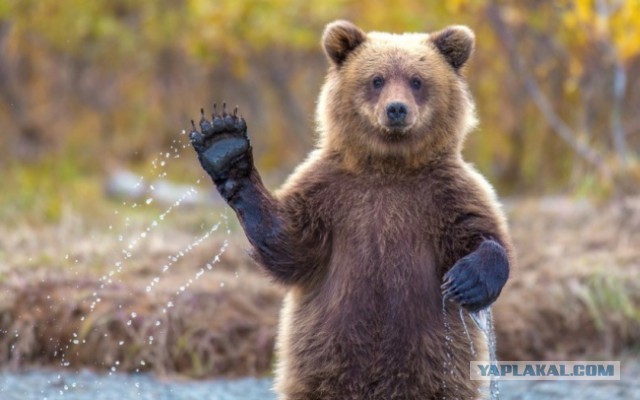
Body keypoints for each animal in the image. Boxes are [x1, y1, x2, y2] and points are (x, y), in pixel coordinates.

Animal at [189, 20, 513, 400]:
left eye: (417, 80)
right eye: (377, 79)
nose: (396, 109)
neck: (389, 167)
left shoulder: (445, 193)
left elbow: (481, 233)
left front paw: (467, 280)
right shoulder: (330, 193)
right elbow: (289, 244)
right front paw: (224, 146)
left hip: (437, 363)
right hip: (323, 356)